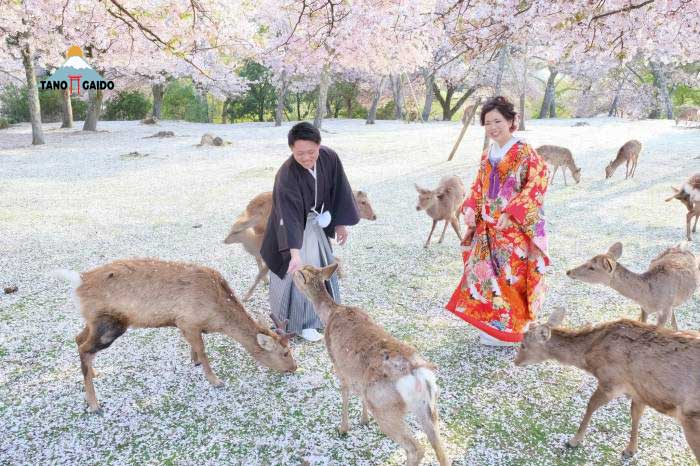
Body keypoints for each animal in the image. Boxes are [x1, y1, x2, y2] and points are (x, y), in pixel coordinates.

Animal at [54, 256, 296, 414]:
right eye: (284, 352)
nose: (294, 367)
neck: (216, 316)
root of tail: (78, 281)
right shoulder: (188, 321)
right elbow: (203, 350)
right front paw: (215, 380)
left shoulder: (187, 325)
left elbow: (195, 347)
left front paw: (194, 361)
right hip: (111, 324)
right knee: (85, 348)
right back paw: (94, 404)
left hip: (93, 321)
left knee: (78, 339)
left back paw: (94, 374)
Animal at [292, 264, 452, 464]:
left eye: (297, 274)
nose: (290, 273)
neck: (329, 314)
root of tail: (419, 375)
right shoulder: (358, 375)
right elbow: (359, 394)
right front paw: (364, 420)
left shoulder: (338, 364)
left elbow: (345, 394)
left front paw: (343, 428)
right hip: (429, 407)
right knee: (441, 450)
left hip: (383, 405)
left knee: (416, 448)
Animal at [516, 308, 700, 460]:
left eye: (523, 345)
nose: (516, 361)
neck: (590, 358)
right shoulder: (639, 390)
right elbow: (635, 414)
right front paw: (630, 450)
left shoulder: (611, 382)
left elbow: (591, 405)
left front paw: (574, 441)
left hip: (692, 420)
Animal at [568, 242, 696, 330]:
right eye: (588, 260)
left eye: (592, 267)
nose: (569, 271)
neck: (649, 299)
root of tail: (681, 245)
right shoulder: (644, 308)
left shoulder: (665, 310)